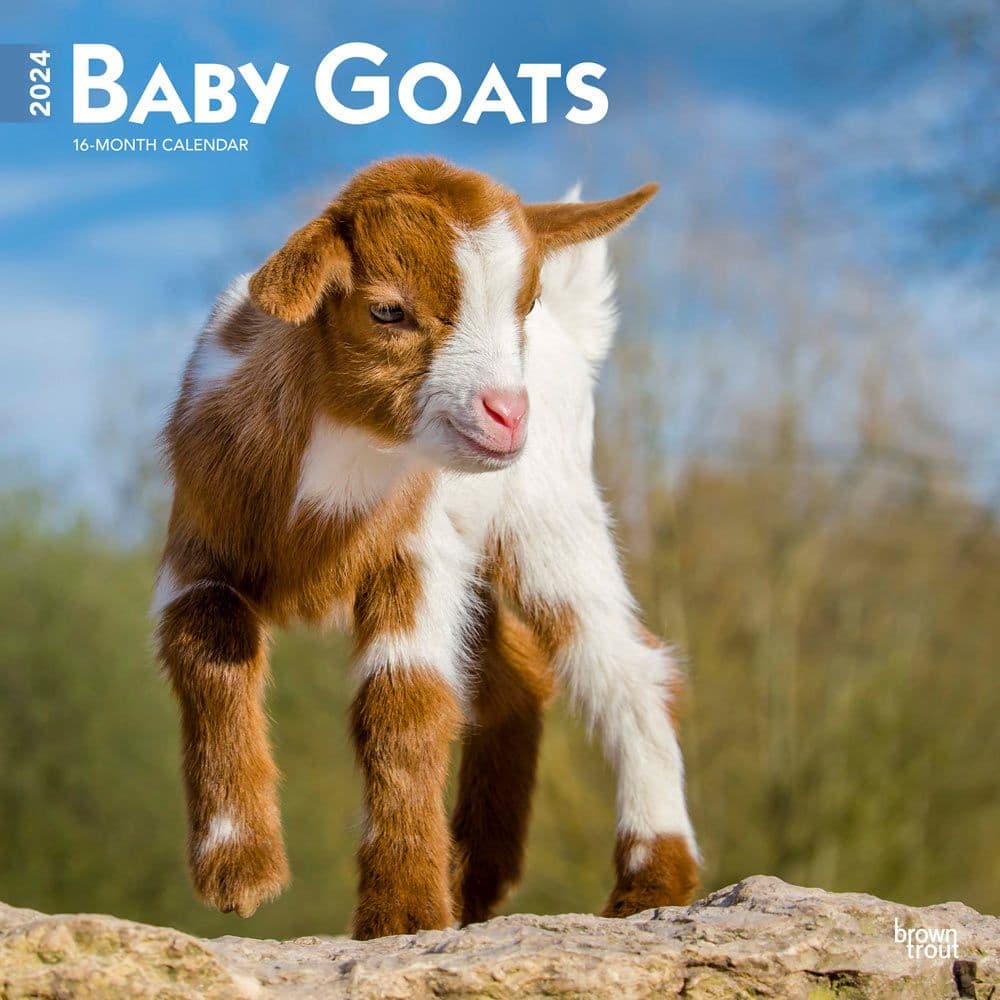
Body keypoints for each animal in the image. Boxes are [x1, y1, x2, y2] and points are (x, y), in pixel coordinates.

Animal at [154, 156, 698, 939]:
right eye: (387, 311)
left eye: (522, 303)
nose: (507, 414)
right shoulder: (197, 540)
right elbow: (208, 646)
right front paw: (240, 868)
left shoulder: (415, 551)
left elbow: (403, 698)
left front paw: (405, 912)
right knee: (516, 674)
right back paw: (477, 878)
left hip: (553, 514)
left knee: (625, 668)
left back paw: (652, 882)